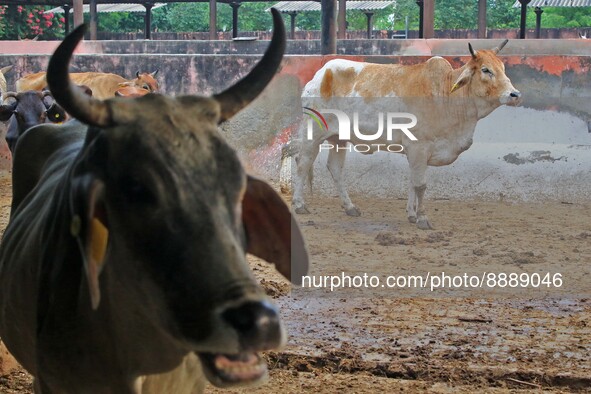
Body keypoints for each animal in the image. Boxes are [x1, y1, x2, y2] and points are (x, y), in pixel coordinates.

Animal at [292, 40, 524, 228]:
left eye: (503, 68)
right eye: (486, 70)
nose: (515, 94)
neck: (447, 96)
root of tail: (319, 76)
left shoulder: (417, 153)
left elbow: (413, 182)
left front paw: (412, 215)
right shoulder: (419, 147)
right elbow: (421, 184)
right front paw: (422, 218)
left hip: (338, 138)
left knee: (335, 168)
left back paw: (350, 207)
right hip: (313, 133)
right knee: (303, 163)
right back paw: (299, 204)